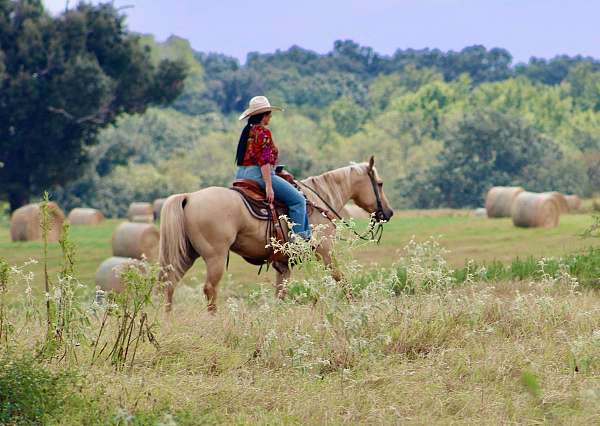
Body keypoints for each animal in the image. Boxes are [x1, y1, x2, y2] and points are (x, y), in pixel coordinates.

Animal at [158, 156, 394, 310]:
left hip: (186, 254)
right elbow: (340, 278)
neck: (316, 200)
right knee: (209, 289)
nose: (388, 212)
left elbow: (281, 294)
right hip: (215, 257)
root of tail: (189, 197)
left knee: (170, 284)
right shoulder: (325, 252)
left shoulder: (283, 264)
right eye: (380, 183)